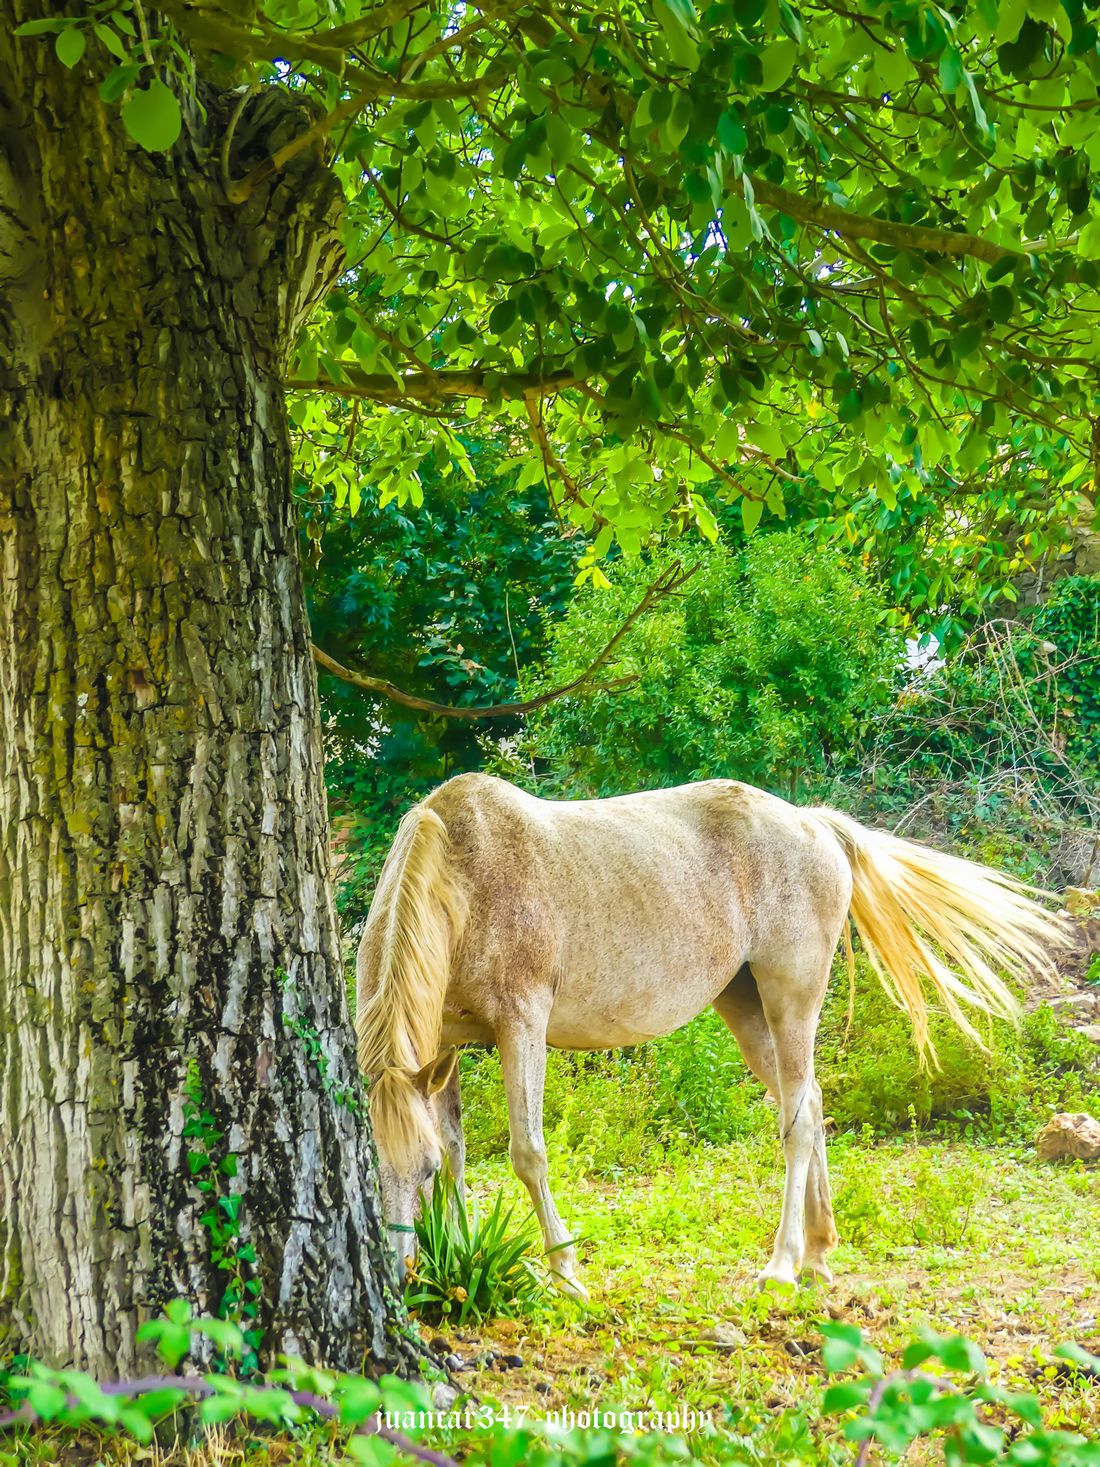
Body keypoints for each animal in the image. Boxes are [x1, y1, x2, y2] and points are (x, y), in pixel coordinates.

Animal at [355, 773, 1064, 1297]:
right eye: (371, 1170)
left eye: (415, 1171)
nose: (397, 1281)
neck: (464, 874)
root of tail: (815, 824)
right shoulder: (443, 1048)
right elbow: (458, 1150)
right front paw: (457, 1256)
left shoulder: (520, 1026)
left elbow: (524, 1152)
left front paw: (566, 1274)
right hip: (745, 1008)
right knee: (809, 1103)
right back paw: (818, 1254)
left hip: (792, 999)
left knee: (797, 1123)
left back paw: (781, 1266)